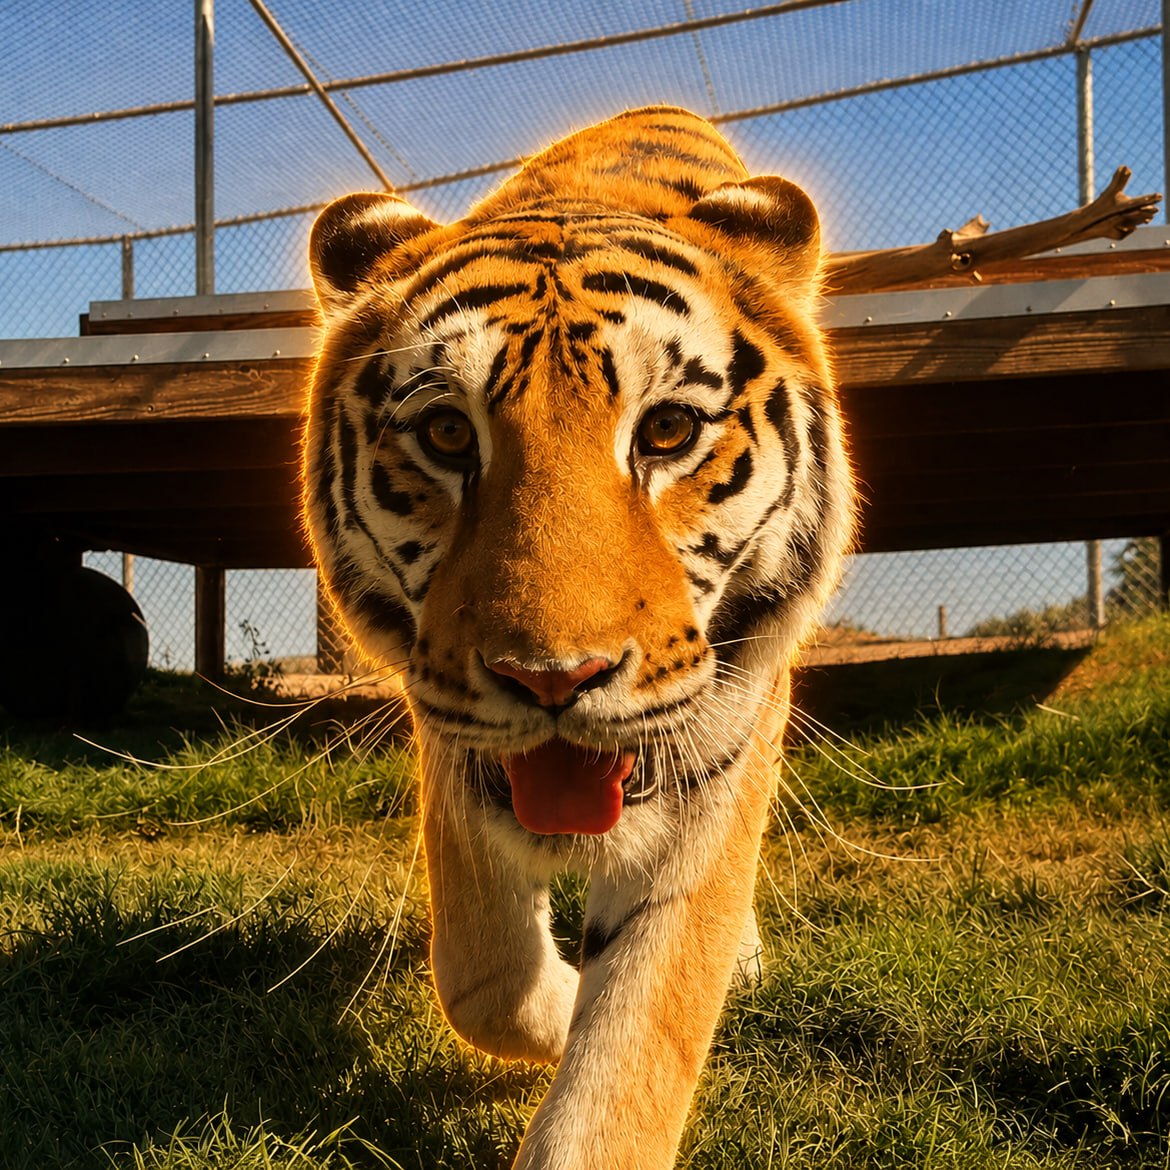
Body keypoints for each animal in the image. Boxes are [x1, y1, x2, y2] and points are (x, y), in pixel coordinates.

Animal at [301, 105, 855, 1169]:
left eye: (668, 430)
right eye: (446, 435)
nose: (555, 680)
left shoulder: (718, 766)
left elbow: (641, 1026)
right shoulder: (451, 737)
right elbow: (483, 976)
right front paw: (558, 1007)